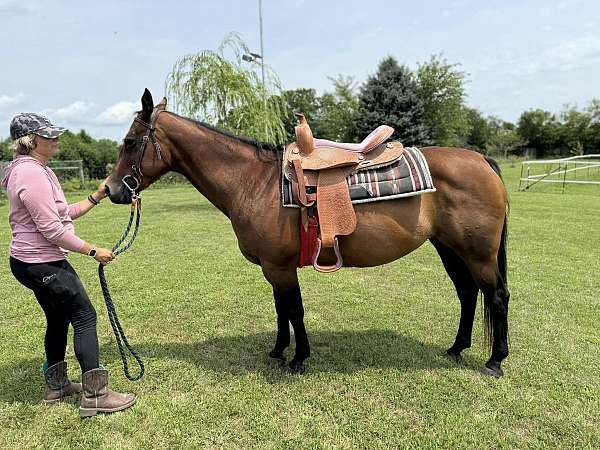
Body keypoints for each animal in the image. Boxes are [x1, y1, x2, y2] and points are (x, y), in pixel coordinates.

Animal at [105, 89, 508, 378]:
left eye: (130, 141)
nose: (111, 190)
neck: (254, 182)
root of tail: (481, 160)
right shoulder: (274, 267)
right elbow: (281, 309)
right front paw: (278, 351)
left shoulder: (280, 266)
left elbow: (294, 310)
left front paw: (298, 358)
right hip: (449, 247)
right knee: (468, 293)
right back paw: (456, 349)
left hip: (478, 252)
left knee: (497, 296)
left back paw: (495, 361)